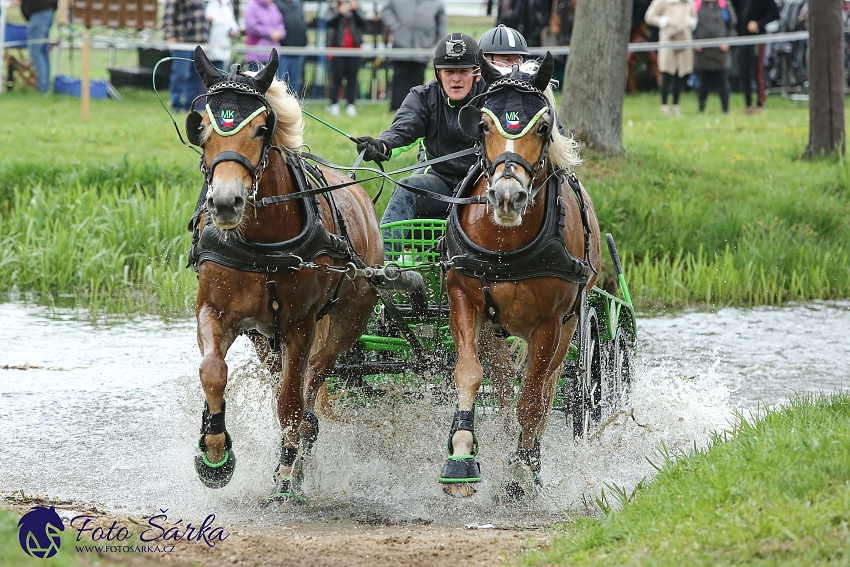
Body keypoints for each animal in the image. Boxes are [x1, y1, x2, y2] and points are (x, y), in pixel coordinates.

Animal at [187, 48, 382, 502]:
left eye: (261, 129)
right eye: (202, 130)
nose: (225, 202)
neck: (262, 244)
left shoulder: (299, 325)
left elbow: (290, 402)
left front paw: (287, 468)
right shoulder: (215, 311)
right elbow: (213, 371)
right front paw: (214, 452)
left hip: (347, 320)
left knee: (312, 380)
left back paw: (297, 456)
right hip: (263, 338)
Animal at [440, 55, 600, 502]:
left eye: (543, 127)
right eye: (483, 124)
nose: (507, 196)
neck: (504, 244)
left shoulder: (549, 323)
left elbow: (533, 397)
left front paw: (521, 469)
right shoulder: (463, 299)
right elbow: (469, 373)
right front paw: (461, 456)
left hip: (568, 329)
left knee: (544, 389)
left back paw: (530, 460)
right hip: (495, 331)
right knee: (504, 385)